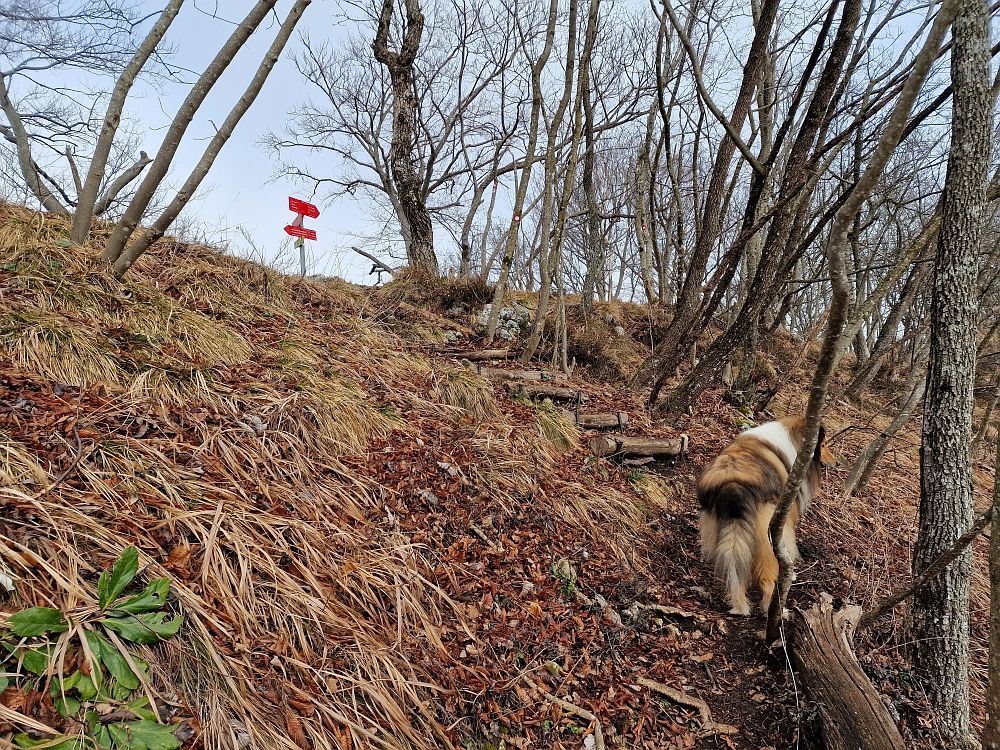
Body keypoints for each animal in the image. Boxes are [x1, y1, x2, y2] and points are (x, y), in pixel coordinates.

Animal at [696, 418, 836, 616]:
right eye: (823, 444)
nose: (836, 462)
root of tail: (733, 482)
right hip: (767, 536)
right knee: (766, 578)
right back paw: (776, 610)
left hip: (724, 531)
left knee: (736, 571)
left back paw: (739, 606)